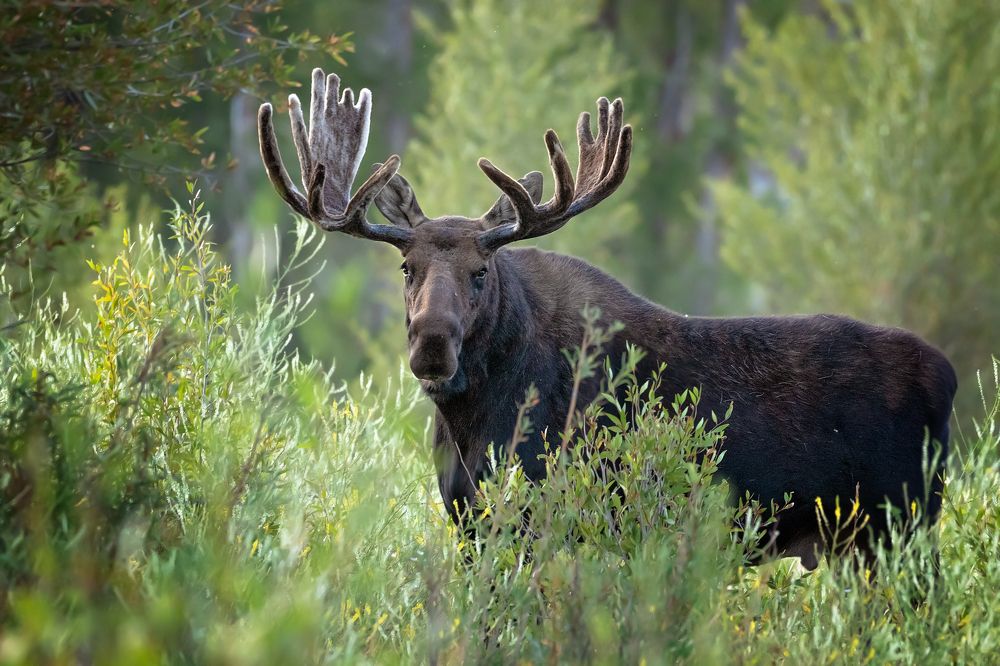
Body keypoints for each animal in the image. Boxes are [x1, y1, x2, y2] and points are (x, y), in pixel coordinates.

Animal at [257, 68, 957, 569]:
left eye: (481, 272)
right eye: (407, 268)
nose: (432, 345)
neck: (471, 420)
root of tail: (946, 376)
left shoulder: (545, 518)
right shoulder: (470, 524)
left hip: (899, 527)